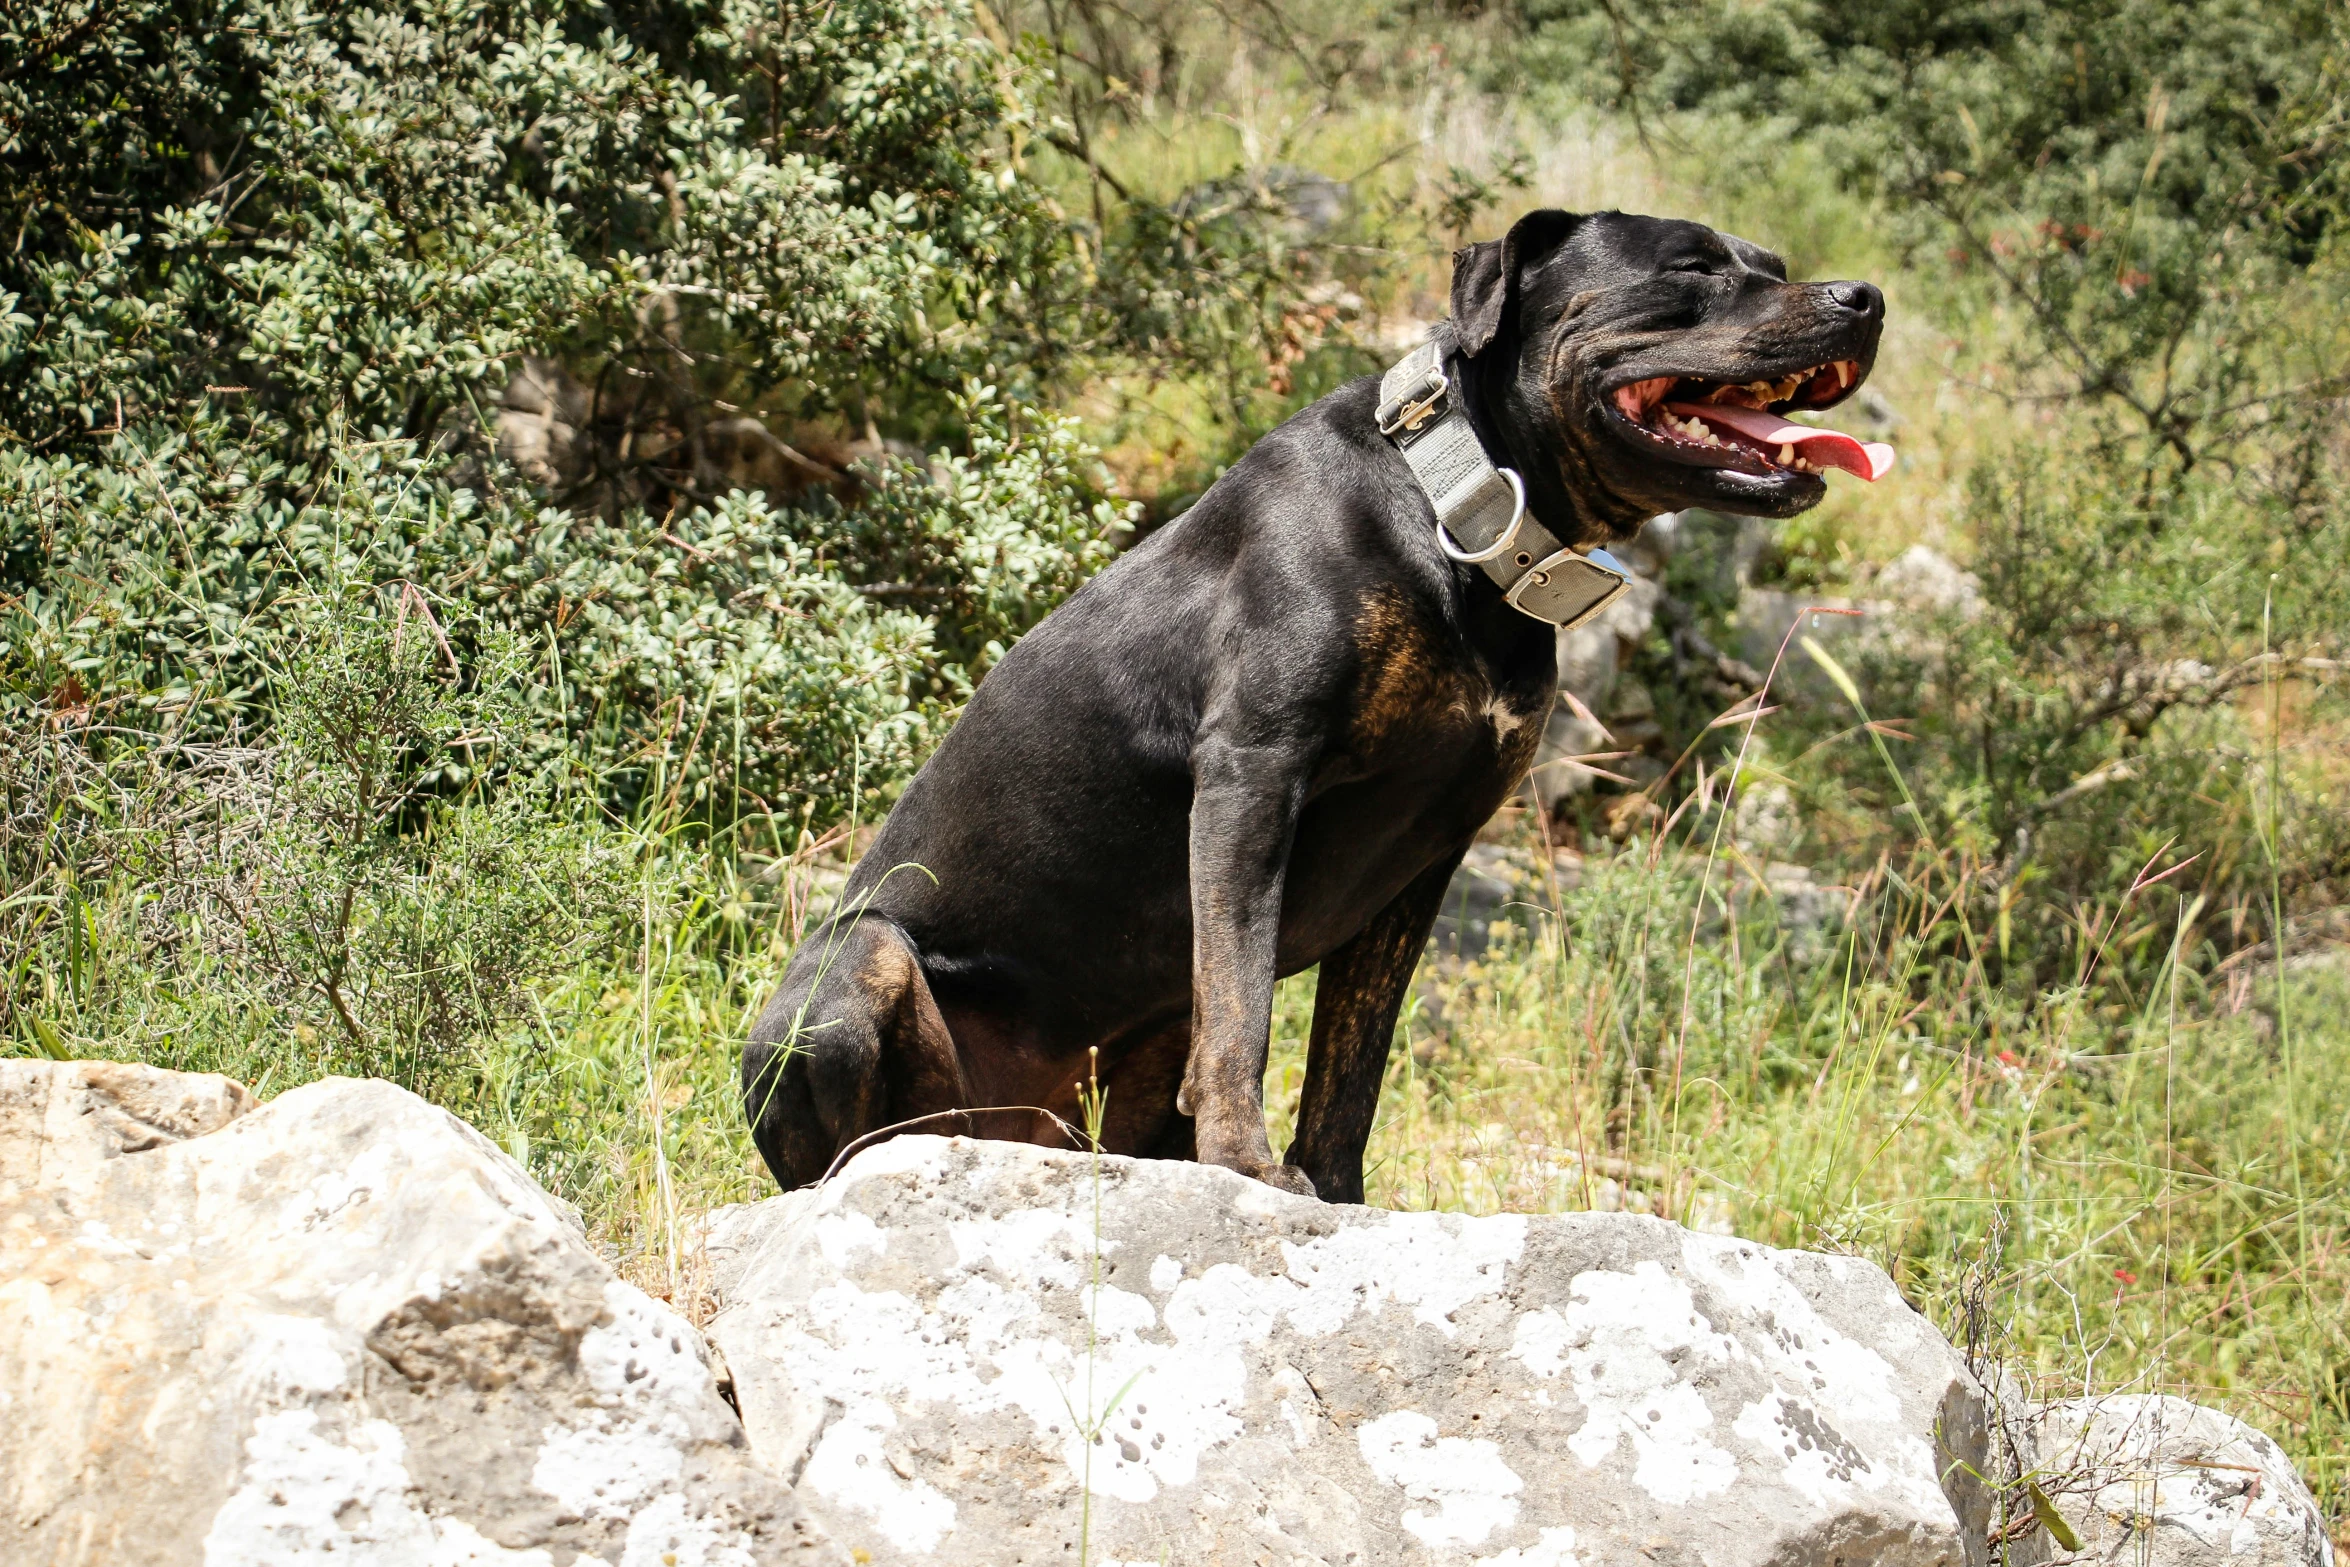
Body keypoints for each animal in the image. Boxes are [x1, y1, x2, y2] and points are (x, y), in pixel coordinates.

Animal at [747, 207, 1889, 1202]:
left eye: (1771, 261)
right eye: (1690, 266)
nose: (1865, 296)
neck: (1460, 521)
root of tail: (1000, 1129)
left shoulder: (1424, 860)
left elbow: (1352, 1066)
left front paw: (1338, 1195)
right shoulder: (1252, 776)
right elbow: (1245, 1007)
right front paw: (1250, 1166)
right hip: (856, 967)